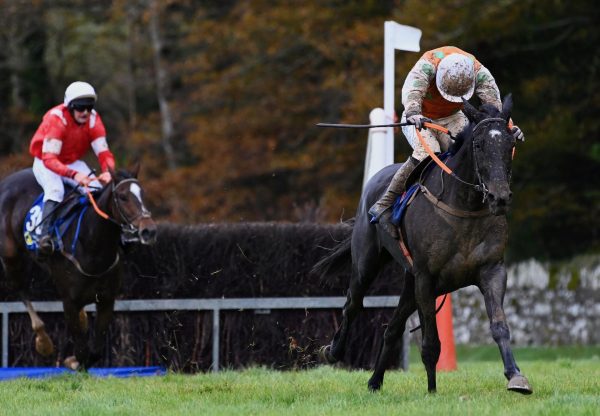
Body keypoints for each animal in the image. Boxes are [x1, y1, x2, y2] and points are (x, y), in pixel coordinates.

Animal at [0, 164, 157, 368]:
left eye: (143, 194)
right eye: (123, 197)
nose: (149, 231)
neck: (93, 247)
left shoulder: (107, 299)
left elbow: (95, 351)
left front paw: (73, 358)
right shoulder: (69, 302)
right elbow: (82, 351)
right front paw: (71, 360)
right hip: (11, 256)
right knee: (21, 289)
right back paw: (44, 341)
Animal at [312, 96, 532, 394]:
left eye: (510, 145)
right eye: (479, 144)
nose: (499, 197)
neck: (465, 206)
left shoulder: (492, 270)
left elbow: (499, 325)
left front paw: (516, 376)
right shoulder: (427, 278)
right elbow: (431, 343)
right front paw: (432, 390)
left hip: (409, 281)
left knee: (391, 329)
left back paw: (375, 381)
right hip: (367, 264)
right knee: (352, 305)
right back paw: (333, 352)